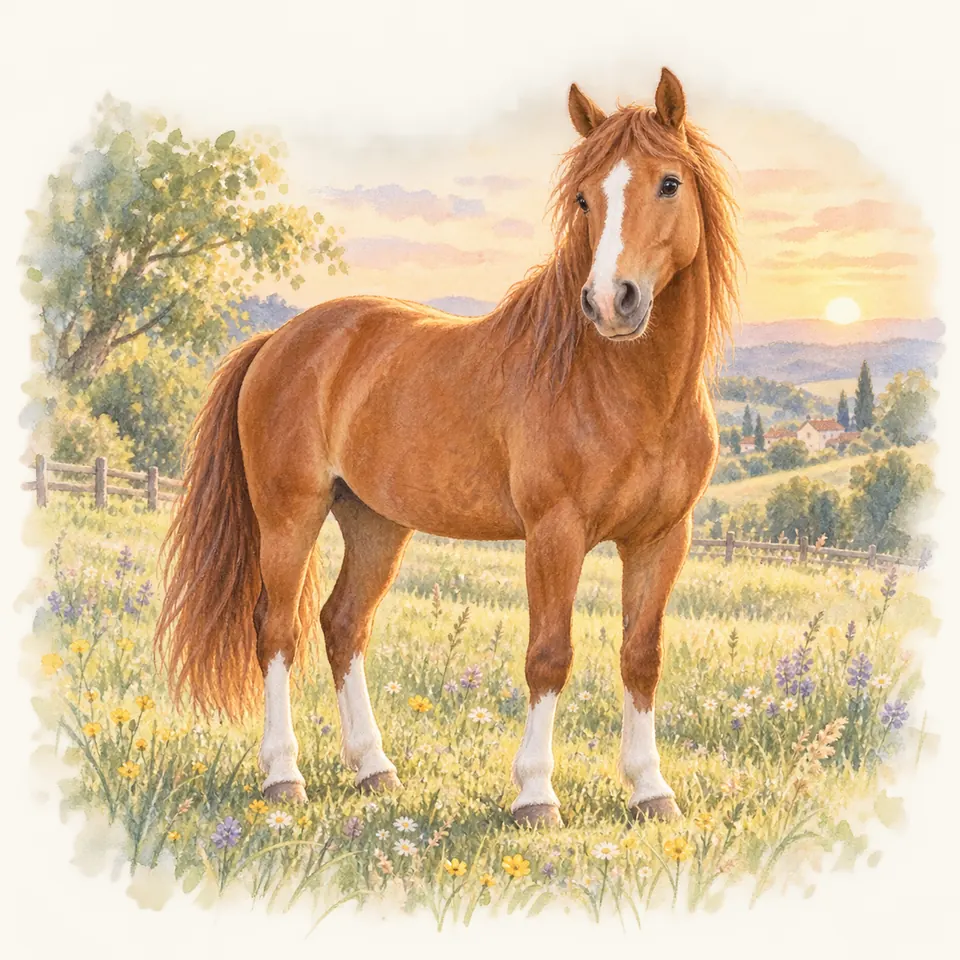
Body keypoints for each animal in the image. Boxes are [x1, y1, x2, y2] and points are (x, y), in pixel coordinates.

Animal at [156, 67, 740, 828]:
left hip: (375, 522)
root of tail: (280, 340)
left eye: (670, 182)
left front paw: (651, 791)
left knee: (343, 624)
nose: (613, 301)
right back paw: (284, 776)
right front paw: (535, 796)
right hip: (290, 516)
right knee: (277, 629)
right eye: (584, 196)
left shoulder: (663, 537)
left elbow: (642, 656)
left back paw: (374, 769)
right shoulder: (555, 533)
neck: (621, 388)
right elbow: (549, 655)